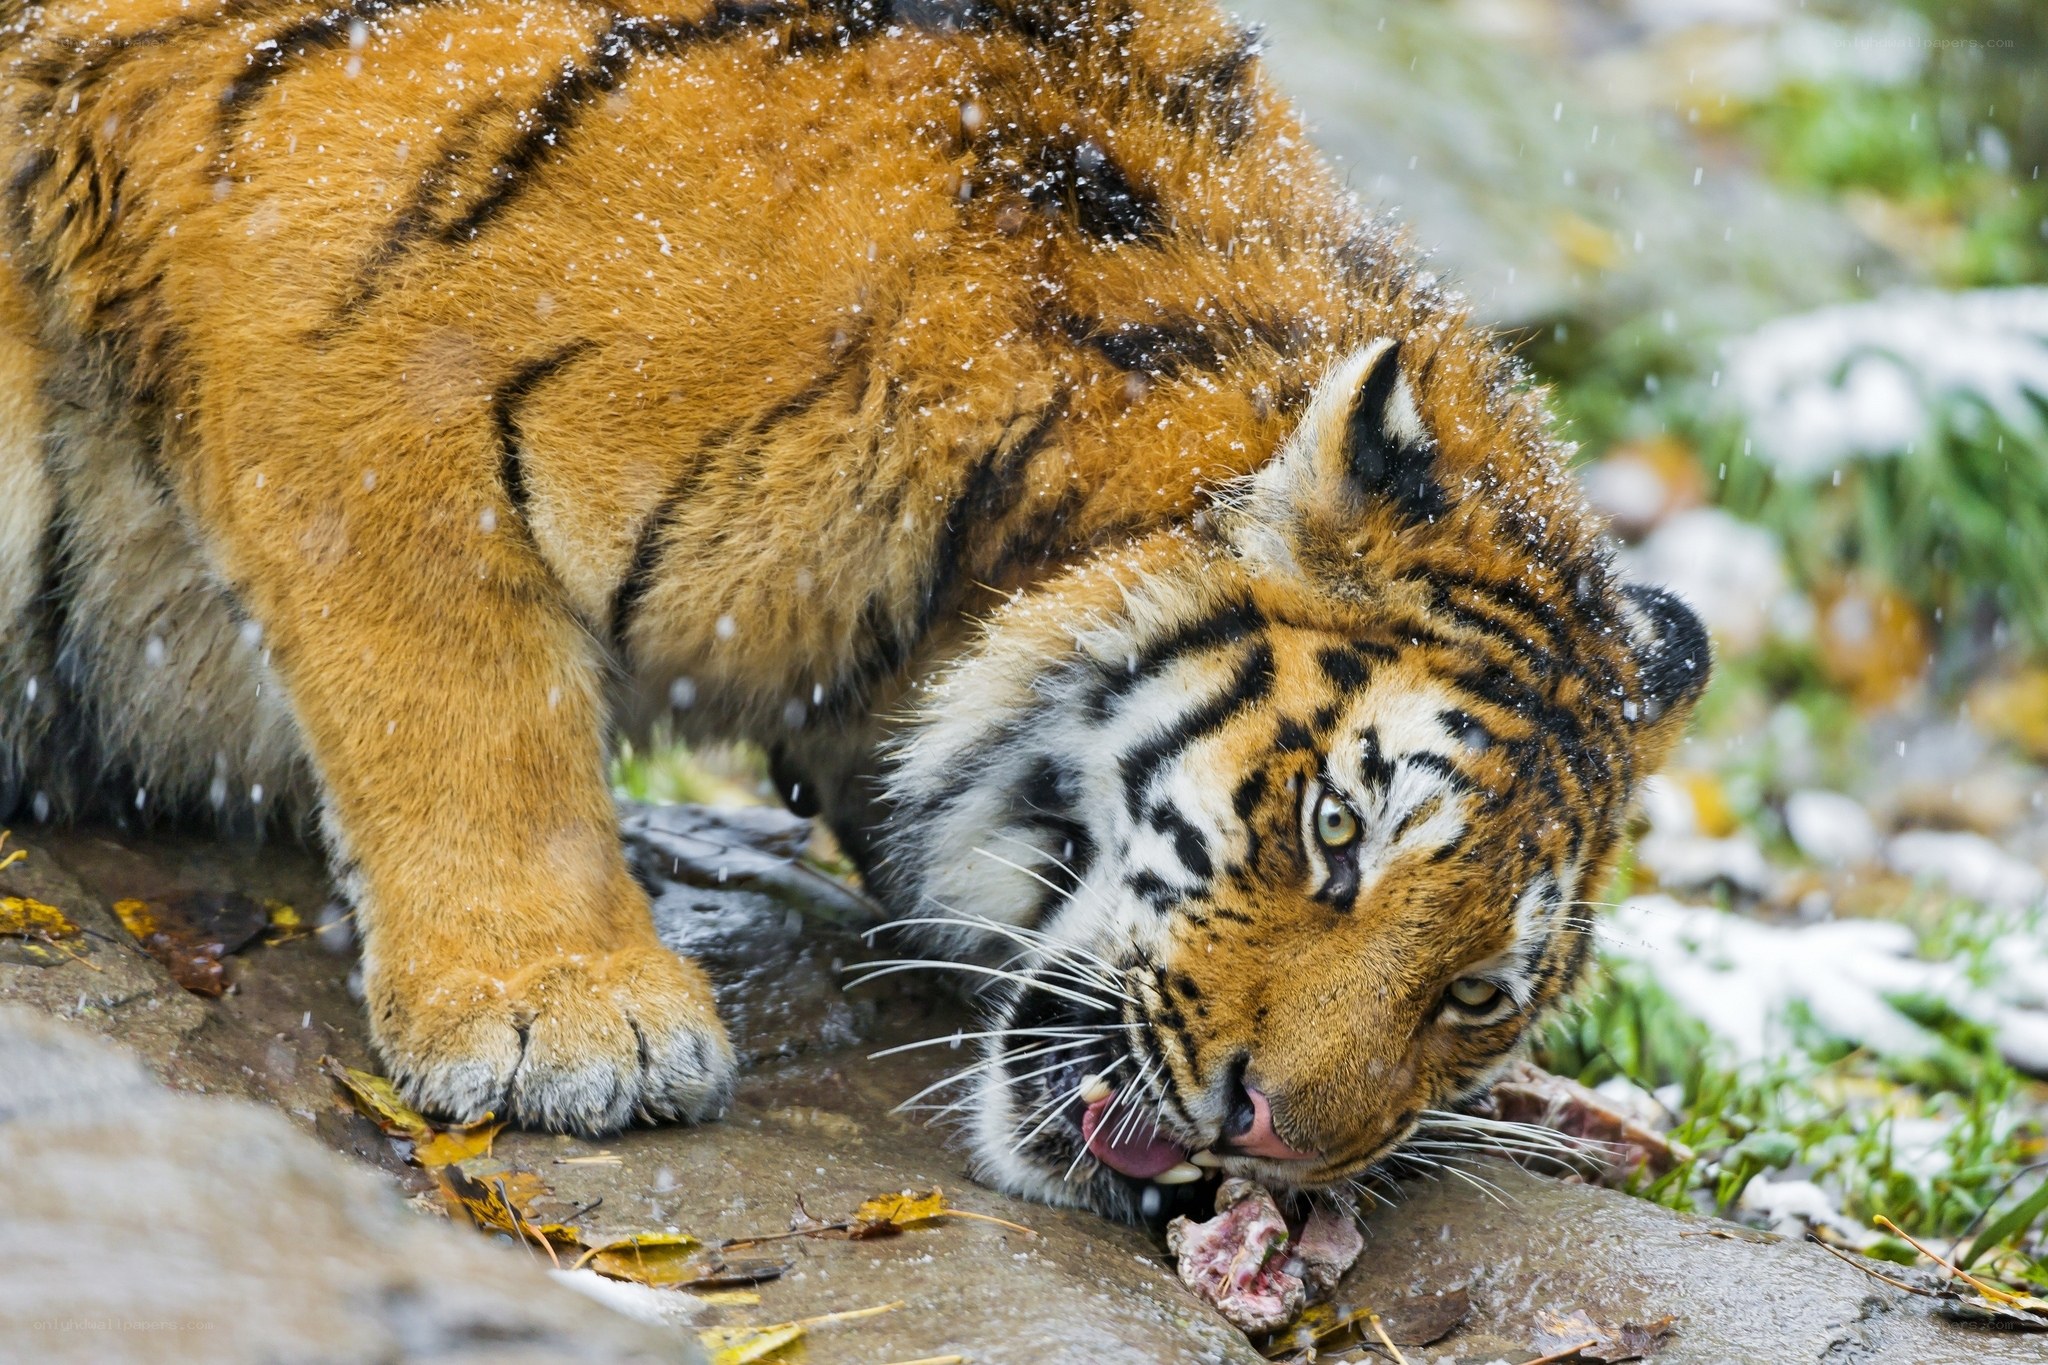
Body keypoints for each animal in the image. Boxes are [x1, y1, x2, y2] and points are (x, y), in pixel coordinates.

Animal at [0, 0, 1709, 1221]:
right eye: (1332, 833)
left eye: (1476, 997)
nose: (1274, 1139)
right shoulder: (349, 344)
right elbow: (467, 704)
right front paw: (566, 1021)